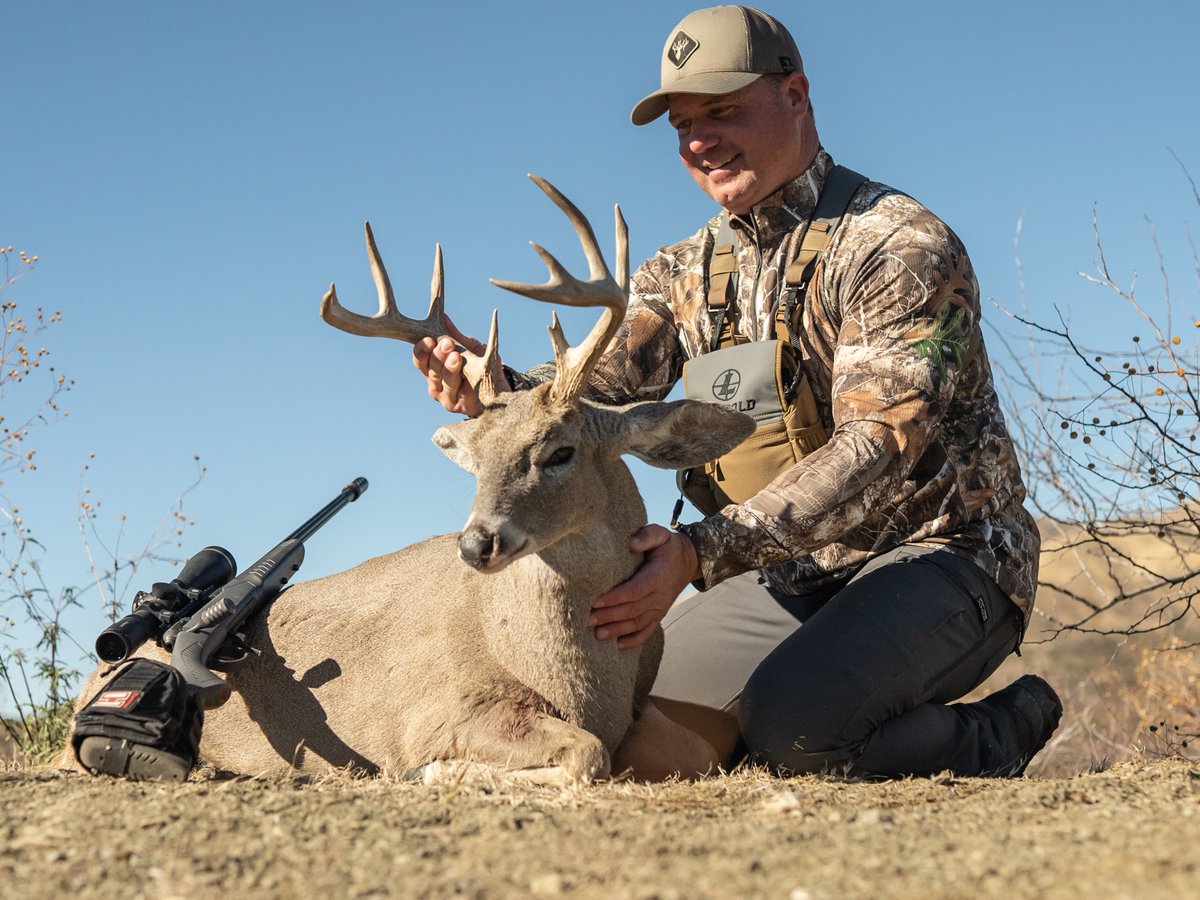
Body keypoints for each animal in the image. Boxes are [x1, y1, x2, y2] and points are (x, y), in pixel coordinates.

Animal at [62, 177, 753, 783]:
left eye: (560, 452)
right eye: (476, 459)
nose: (476, 543)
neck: (584, 680)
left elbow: (689, 749)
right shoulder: (440, 709)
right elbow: (586, 755)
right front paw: (431, 770)